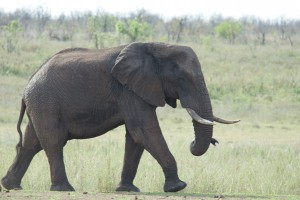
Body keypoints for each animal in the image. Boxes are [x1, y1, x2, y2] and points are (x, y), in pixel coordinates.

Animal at [0, 41, 239, 192]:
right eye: (182, 78)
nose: (193, 143)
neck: (157, 46)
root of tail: (26, 89)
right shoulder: (128, 89)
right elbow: (143, 131)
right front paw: (178, 187)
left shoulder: (134, 89)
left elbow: (135, 137)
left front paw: (128, 190)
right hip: (46, 104)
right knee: (53, 142)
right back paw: (63, 189)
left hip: (41, 106)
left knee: (31, 144)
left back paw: (11, 186)